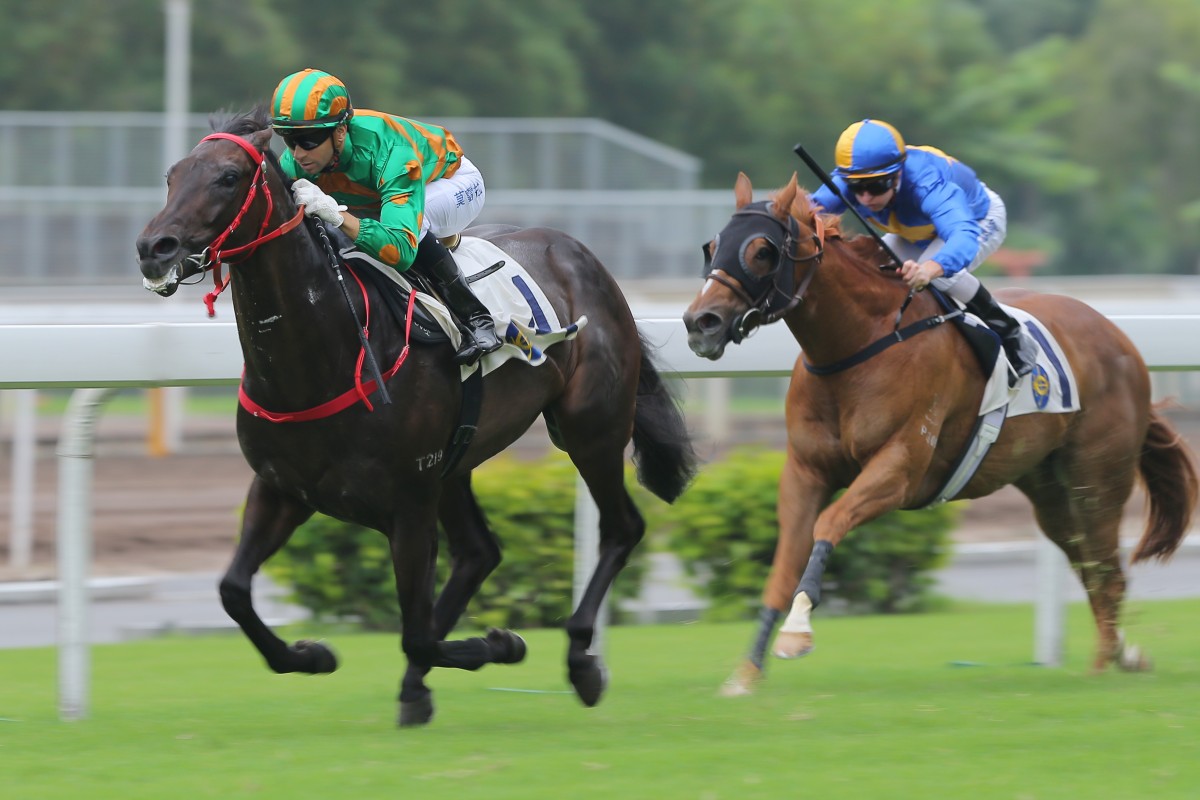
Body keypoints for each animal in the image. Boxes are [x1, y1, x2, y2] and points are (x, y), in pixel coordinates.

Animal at [135, 108, 697, 727]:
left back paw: (580, 661)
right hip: (457, 464)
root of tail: (584, 257)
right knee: (479, 552)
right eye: (172, 175)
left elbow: (418, 633)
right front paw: (311, 655)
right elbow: (234, 591)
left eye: (228, 177)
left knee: (620, 527)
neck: (327, 355)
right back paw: (420, 686)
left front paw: (501, 644)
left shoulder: (408, 501)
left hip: (589, 429)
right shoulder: (281, 487)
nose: (154, 246)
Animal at [682, 172, 1198, 696]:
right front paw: (746, 672)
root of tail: (1120, 340)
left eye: (761, 251)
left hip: (1098, 477)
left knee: (1107, 569)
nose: (700, 322)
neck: (858, 344)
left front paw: (797, 631)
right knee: (1088, 564)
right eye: (712, 246)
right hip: (1049, 490)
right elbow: (785, 559)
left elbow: (829, 523)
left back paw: (1104, 667)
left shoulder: (901, 469)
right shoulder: (806, 471)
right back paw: (1123, 656)